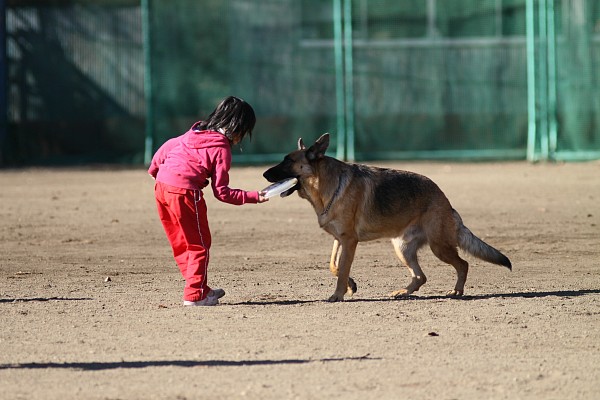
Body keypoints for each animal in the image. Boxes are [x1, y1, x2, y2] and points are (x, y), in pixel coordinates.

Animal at [262, 133, 510, 302]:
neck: (325, 185)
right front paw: (350, 285)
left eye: (287, 160)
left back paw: (457, 290)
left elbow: (341, 269)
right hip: (402, 249)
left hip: (439, 247)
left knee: (463, 264)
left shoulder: (349, 241)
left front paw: (338, 294)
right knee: (421, 277)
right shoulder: (339, 239)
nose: (264, 174)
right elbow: (335, 265)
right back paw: (405, 292)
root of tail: (446, 201)